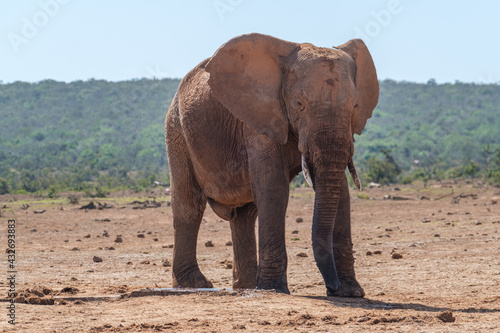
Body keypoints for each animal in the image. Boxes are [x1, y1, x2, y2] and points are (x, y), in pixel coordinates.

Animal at [165, 31, 378, 296]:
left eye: (355, 106)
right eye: (299, 104)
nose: (332, 286)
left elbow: (341, 192)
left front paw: (350, 293)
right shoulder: (259, 118)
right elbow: (273, 188)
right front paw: (274, 289)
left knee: (244, 214)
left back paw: (246, 286)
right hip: (177, 132)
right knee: (189, 205)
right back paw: (195, 285)